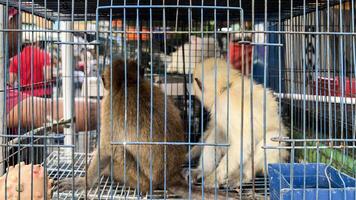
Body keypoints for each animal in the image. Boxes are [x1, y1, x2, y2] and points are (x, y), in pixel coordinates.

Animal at [59, 58, 234, 199]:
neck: (129, 83)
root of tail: (170, 176)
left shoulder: (108, 106)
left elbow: (106, 149)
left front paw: (84, 182)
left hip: (139, 178)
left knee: (118, 151)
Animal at [188, 57, 288, 188]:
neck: (226, 88)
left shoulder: (224, 105)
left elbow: (243, 142)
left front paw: (215, 177)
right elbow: (214, 130)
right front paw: (192, 154)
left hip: (274, 159)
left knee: (272, 137)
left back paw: (243, 174)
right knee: (218, 133)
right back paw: (202, 170)